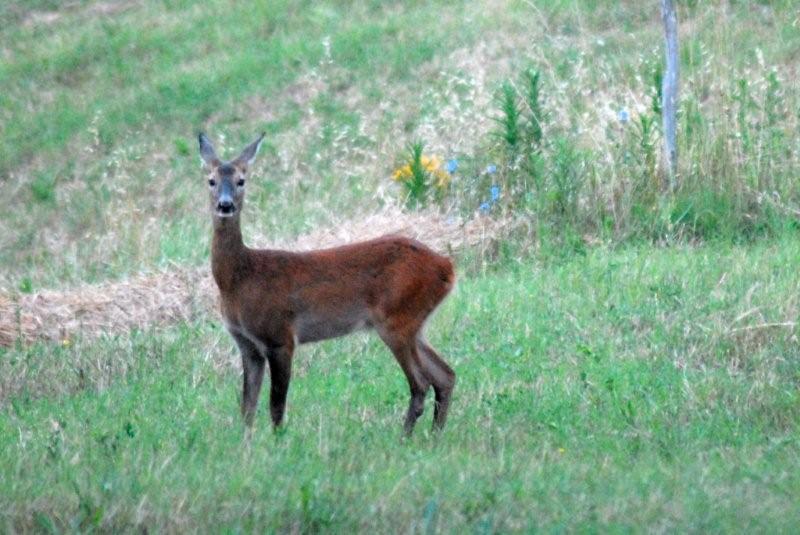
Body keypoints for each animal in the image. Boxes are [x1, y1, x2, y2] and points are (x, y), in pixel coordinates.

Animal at [198, 131, 456, 436]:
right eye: (211, 180)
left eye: (241, 180)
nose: (225, 205)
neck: (239, 279)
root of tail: (447, 267)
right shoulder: (247, 345)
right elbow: (247, 407)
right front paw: (245, 443)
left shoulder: (280, 336)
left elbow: (276, 406)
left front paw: (277, 442)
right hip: (414, 324)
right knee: (445, 375)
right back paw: (434, 436)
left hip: (396, 318)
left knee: (421, 383)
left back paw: (406, 438)